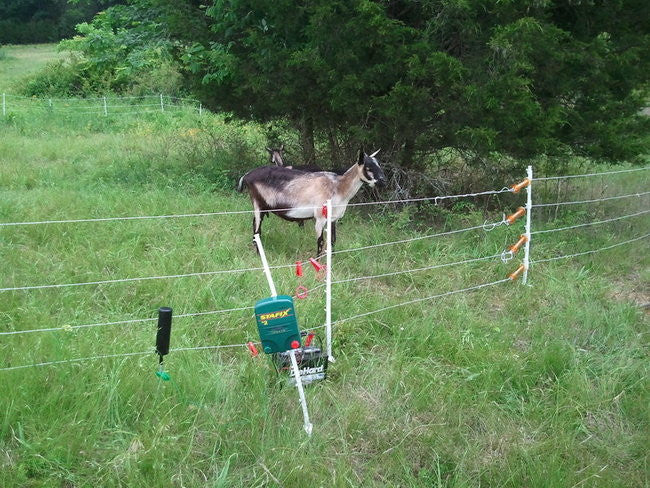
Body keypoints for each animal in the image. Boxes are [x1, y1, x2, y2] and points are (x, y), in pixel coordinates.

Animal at [238, 149, 385, 256]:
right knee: (257, 229)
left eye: (378, 164)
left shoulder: (333, 218)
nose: (383, 181)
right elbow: (321, 242)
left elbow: (333, 240)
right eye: (368, 167)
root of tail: (246, 175)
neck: (338, 187)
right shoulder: (319, 217)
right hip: (257, 205)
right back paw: (259, 254)